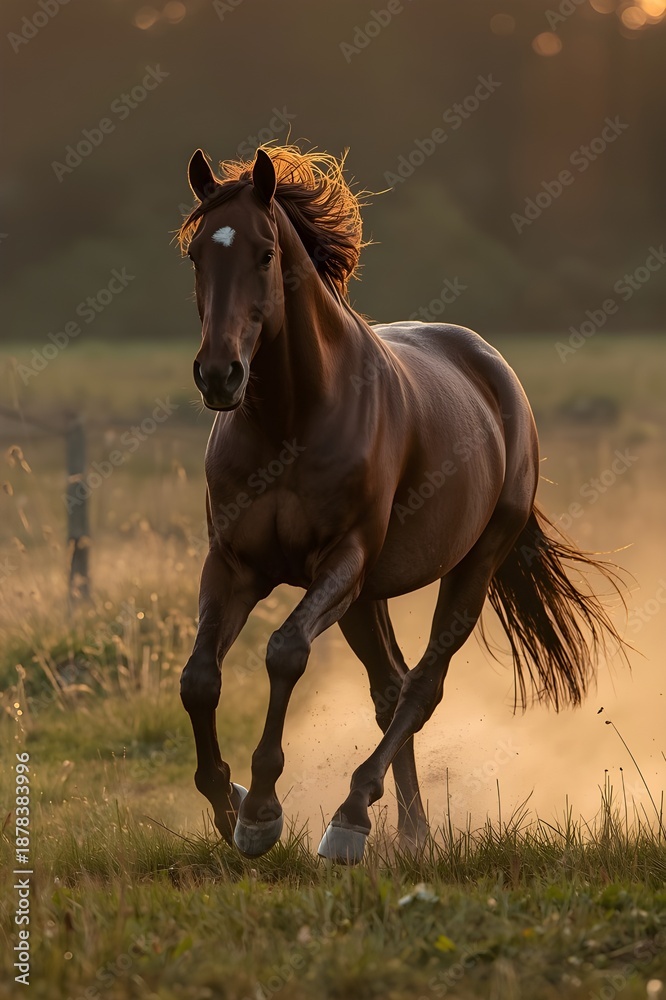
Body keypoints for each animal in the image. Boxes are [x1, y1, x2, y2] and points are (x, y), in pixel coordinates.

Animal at [177, 144, 626, 863]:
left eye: (265, 254)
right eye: (197, 255)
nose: (220, 376)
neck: (292, 419)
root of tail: (497, 373)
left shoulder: (341, 560)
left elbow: (284, 653)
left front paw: (263, 810)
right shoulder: (235, 565)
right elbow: (200, 679)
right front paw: (228, 804)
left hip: (468, 570)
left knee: (421, 687)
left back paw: (352, 818)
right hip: (367, 597)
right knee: (390, 690)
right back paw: (408, 831)